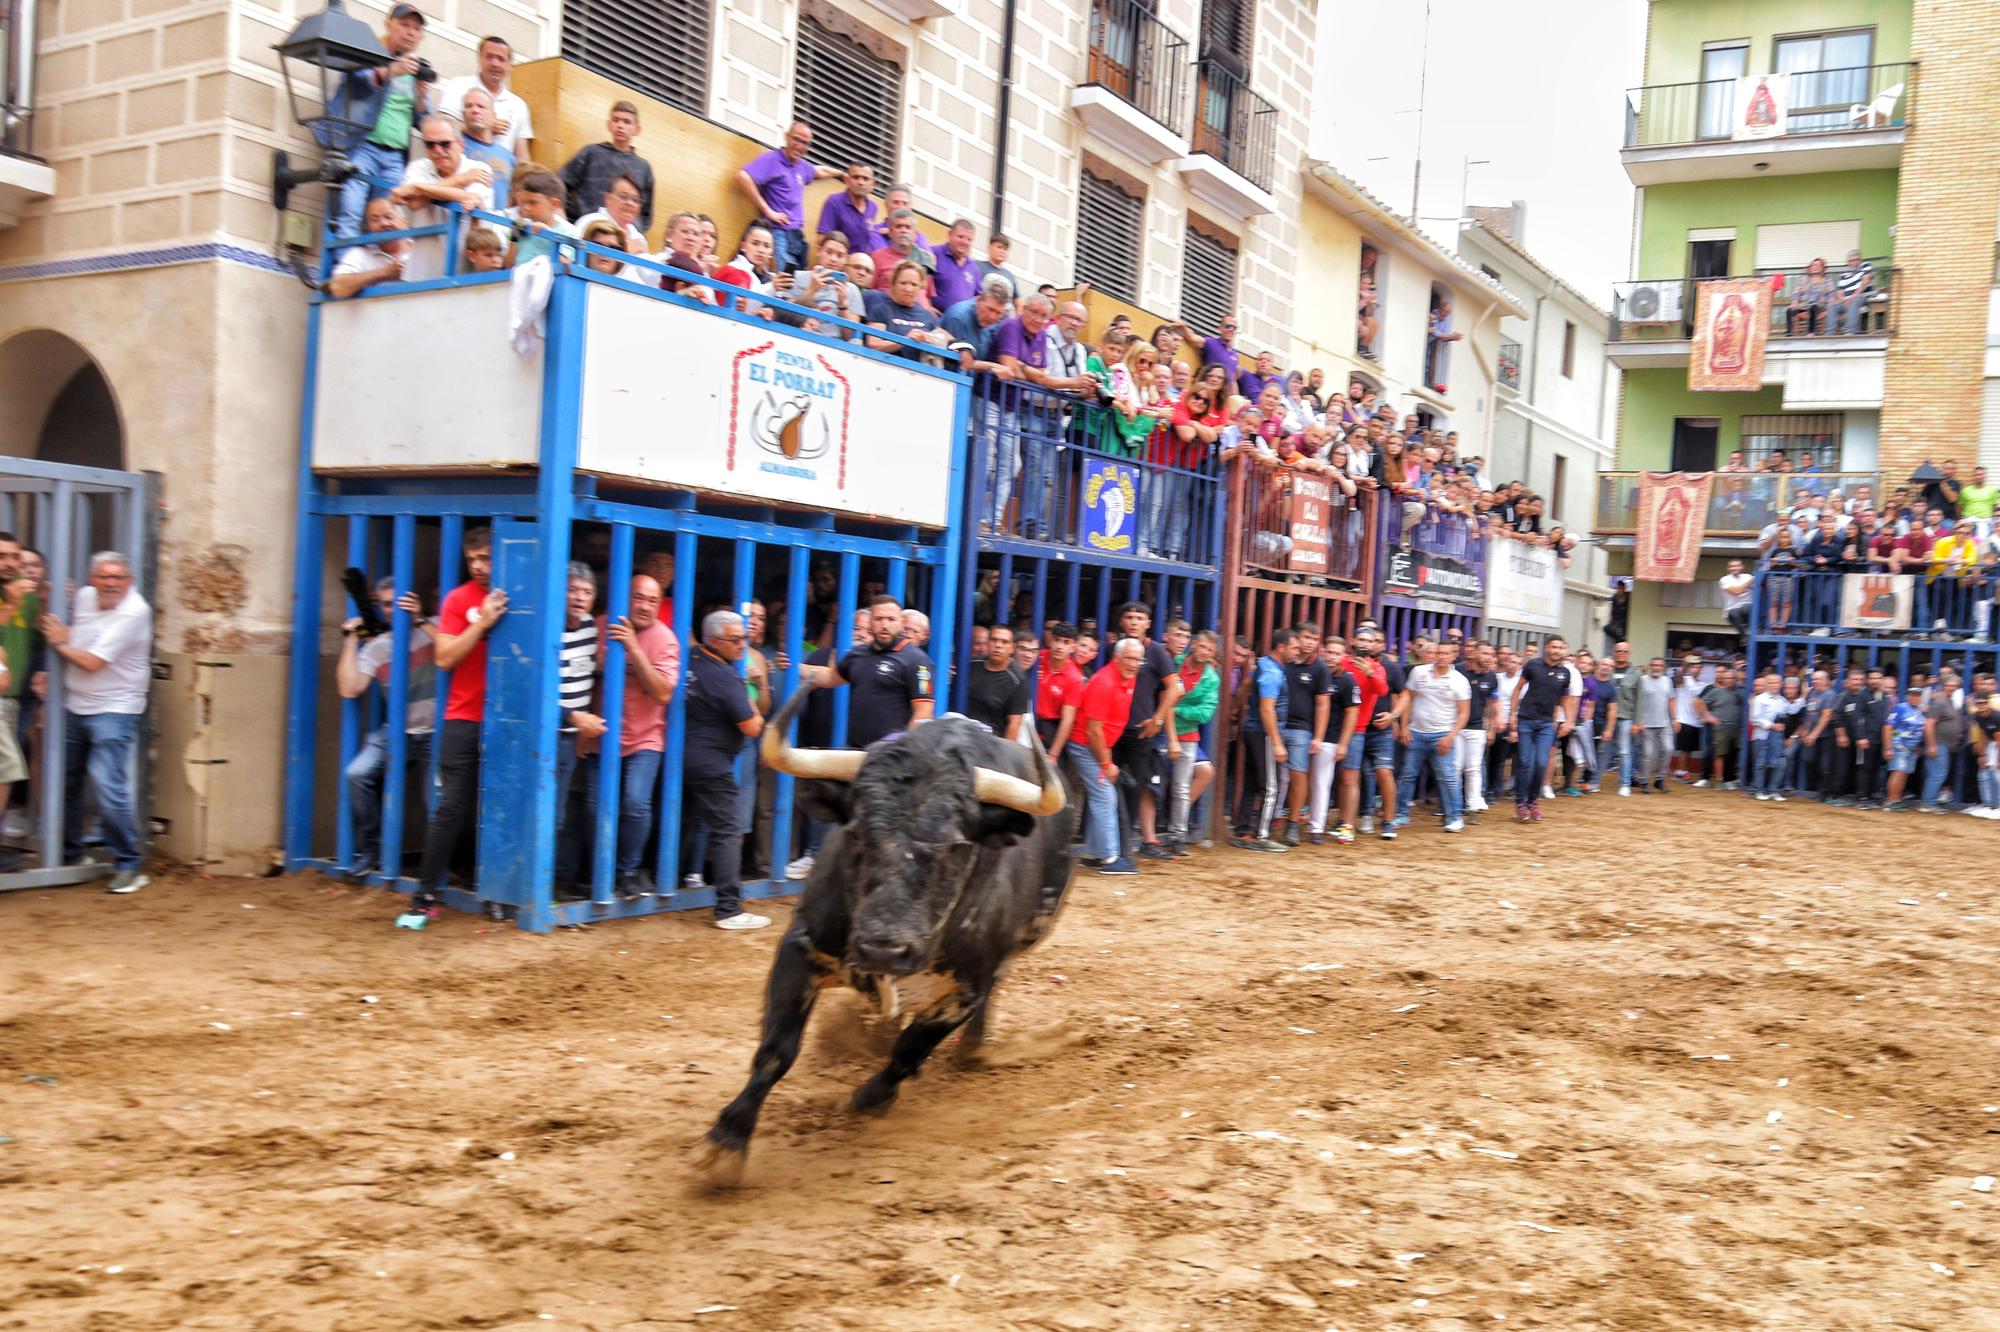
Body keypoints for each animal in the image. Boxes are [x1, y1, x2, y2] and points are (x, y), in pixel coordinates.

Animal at [700, 684, 1080, 1184]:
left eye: (957, 846)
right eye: (858, 831)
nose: (884, 950)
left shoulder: (967, 988)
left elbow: (909, 1049)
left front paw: (871, 1097)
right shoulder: (801, 950)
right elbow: (777, 1049)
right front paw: (728, 1138)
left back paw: (971, 1050)